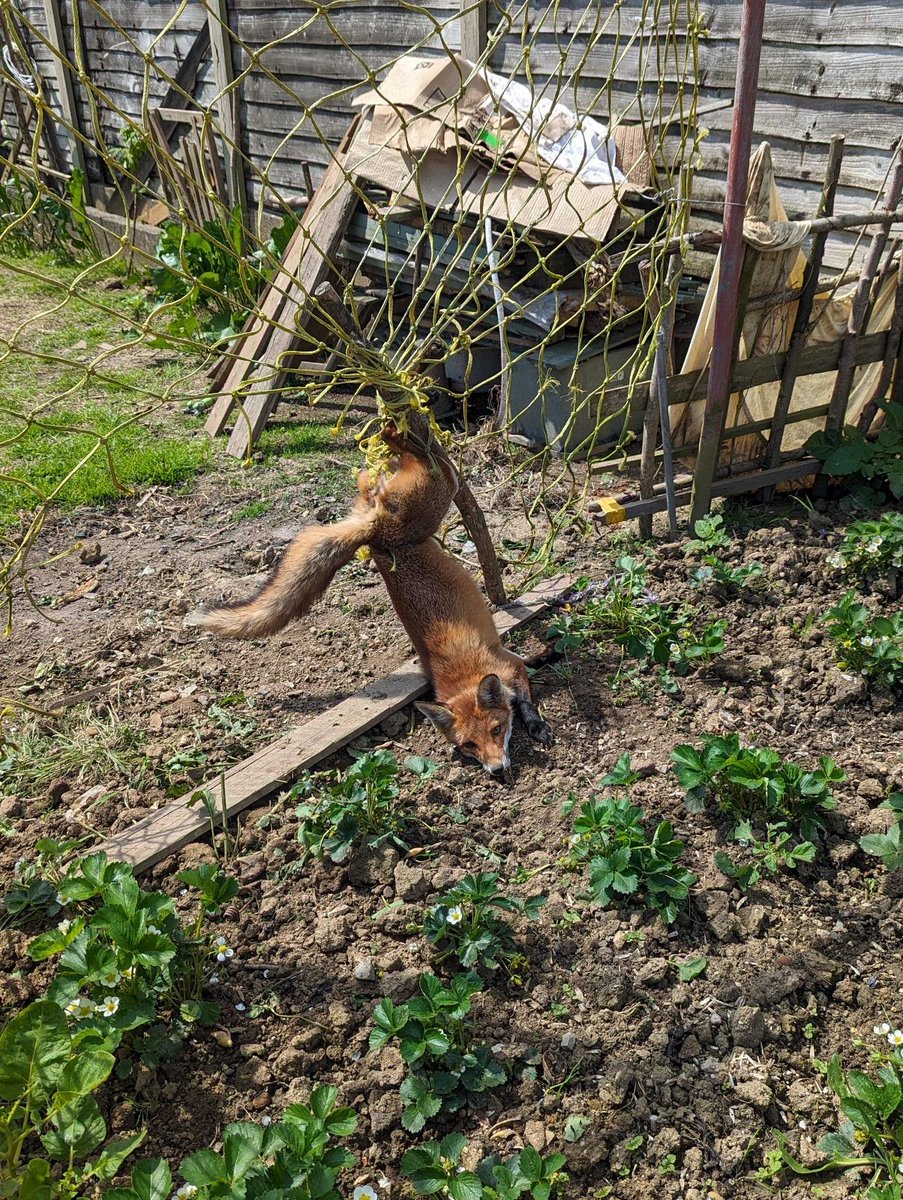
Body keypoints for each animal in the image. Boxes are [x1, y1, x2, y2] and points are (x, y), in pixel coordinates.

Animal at [196, 429, 549, 768]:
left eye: (496, 730)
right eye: (469, 746)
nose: (497, 770)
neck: (465, 672)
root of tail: (376, 533)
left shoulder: (510, 666)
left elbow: (525, 698)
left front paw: (536, 723)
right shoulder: (505, 667)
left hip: (419, 492)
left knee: (405, 465)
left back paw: (396, 433)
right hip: (435, 494)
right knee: (422, 463)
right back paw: (398, 433)